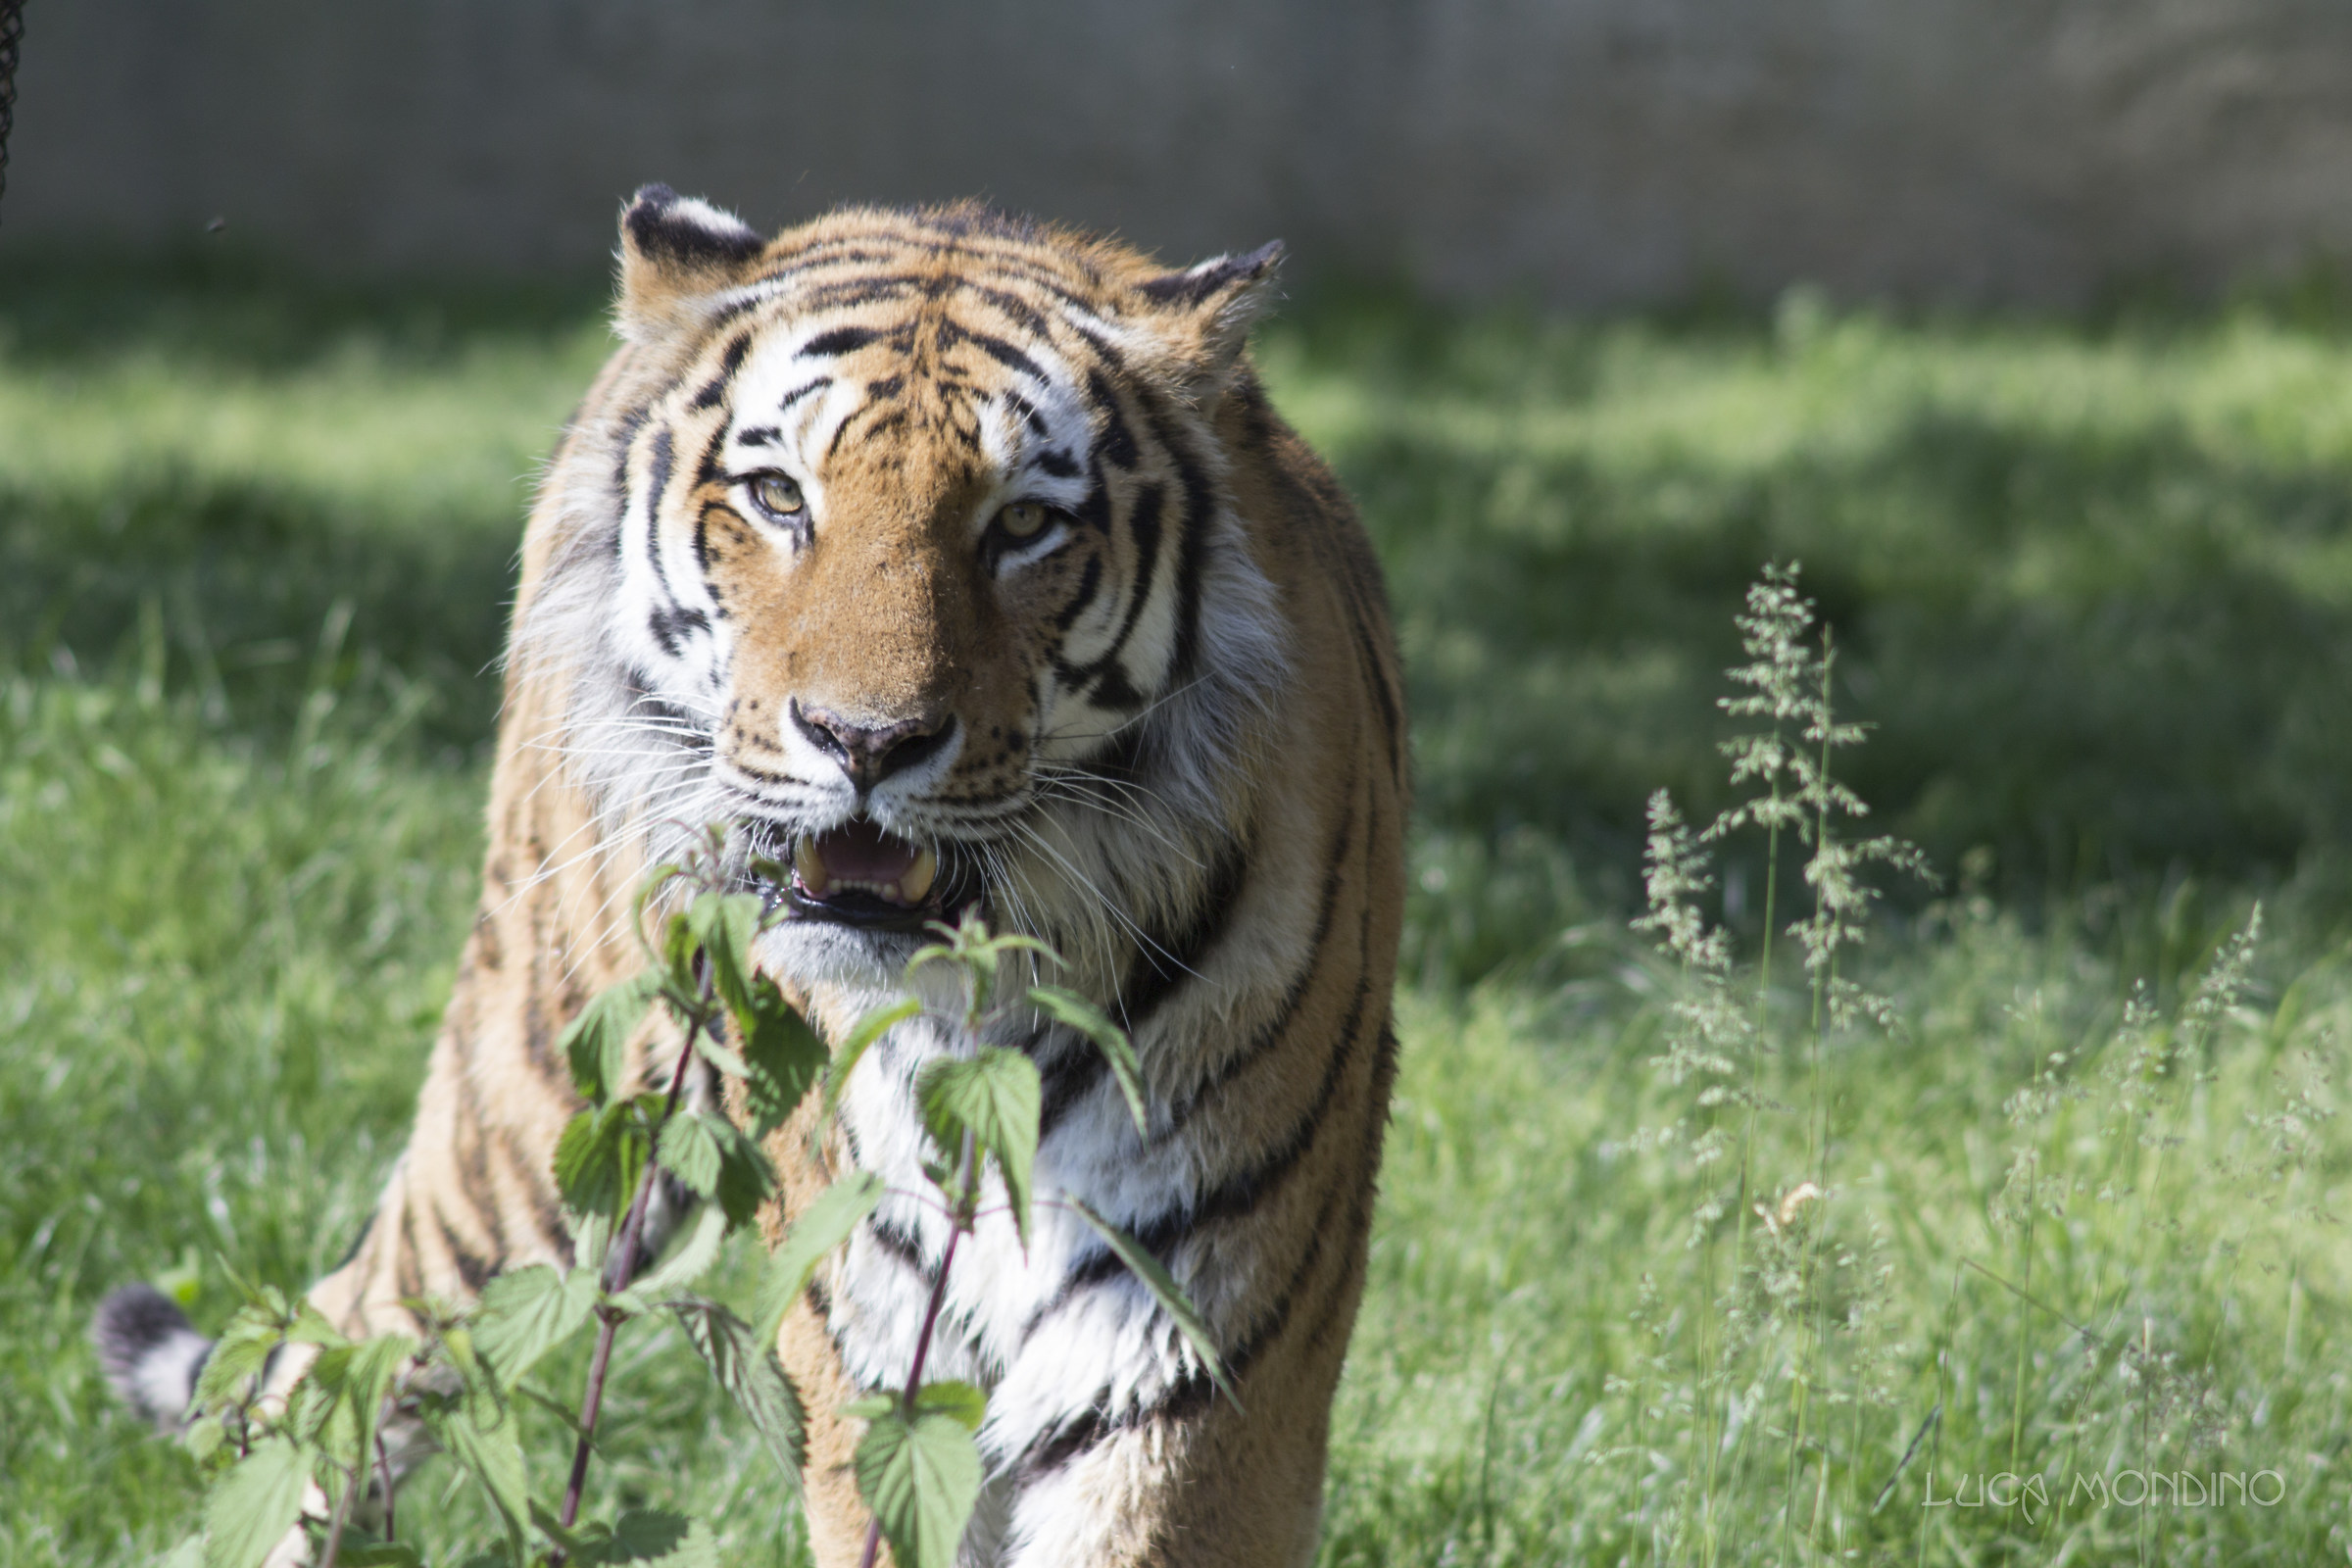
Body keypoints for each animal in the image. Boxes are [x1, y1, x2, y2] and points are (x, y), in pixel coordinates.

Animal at [98, 186, 1407, 1567]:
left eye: (1023, 524)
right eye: (782, 497)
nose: (865, 740)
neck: (978, 1010)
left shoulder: (1189, 1351)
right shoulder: (885, 1379)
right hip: (533, 1108)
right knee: (342, 1350)